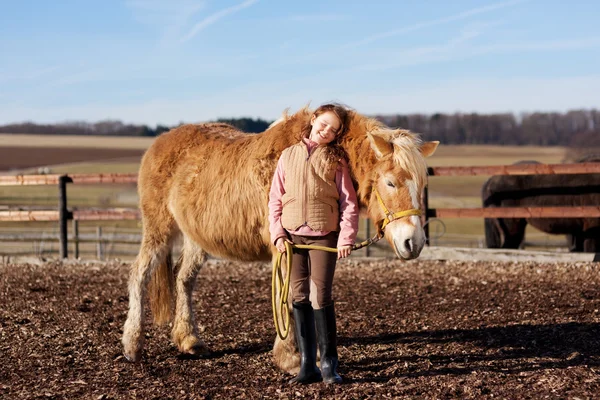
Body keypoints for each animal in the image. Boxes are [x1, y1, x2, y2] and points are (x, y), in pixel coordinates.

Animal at [122, 104, 438, 374]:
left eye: (423, 183)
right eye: (390, 182)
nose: (413, 242)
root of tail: (160, 143)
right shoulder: (284, 248)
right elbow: (285, 299)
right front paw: (291, 358)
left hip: (195, 238)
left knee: (183, 279)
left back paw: (189, 340)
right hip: (159, 229)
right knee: (139, 273)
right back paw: (132, 345)